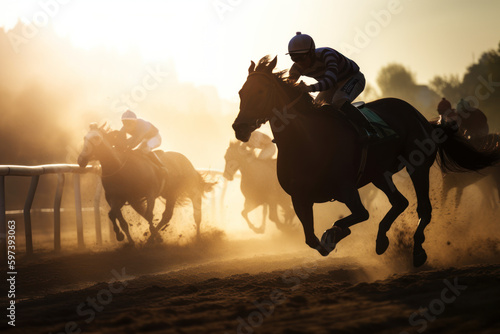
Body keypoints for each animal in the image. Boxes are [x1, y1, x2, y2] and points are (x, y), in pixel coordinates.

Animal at [77, 124, 214, 244]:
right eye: (84, 138)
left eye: (96, 138)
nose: (81, 160)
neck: (120, 168)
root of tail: (188, 162)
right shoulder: (120, 198)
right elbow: (115, 216)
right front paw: (125, 238)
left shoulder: (150, 193)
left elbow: (148, 215)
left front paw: (155, 237)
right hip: (170, 194)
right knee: (167, 215)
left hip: (191, 190)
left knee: (196, 214)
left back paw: (198, 238)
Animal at [231, 56, 500, 266]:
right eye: (241, 92)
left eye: (261, 91)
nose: (239, 128)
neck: (307, 141)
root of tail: (423, 118)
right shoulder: (299, 197)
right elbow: (311, 239)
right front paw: (333, 237)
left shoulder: (346, 189)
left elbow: (359, 215)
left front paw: (335, 233)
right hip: (379, 174)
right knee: (400, 202)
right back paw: (382, 241)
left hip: (418, 166)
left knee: (423, 208)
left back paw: (417, 250)